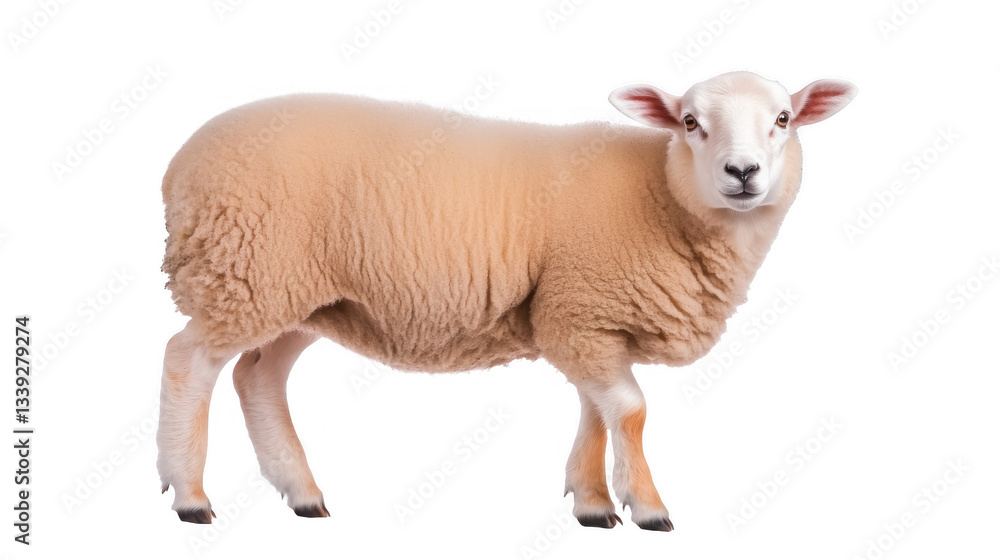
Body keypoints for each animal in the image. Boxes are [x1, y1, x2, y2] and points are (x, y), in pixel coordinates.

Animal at [157, 71, 857, 529]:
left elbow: (596, 409)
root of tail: (178, 165)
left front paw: (593, 503)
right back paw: (190, 496)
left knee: (258, 375)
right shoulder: (581, 309)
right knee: (188, 360)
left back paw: (301, 492)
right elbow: (629, 410)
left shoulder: (579, 318)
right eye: (690, 122)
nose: (743, 173)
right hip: (243, 268)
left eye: (784, 120)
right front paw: (649, 508)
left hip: (297, 294)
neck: (662, 196)